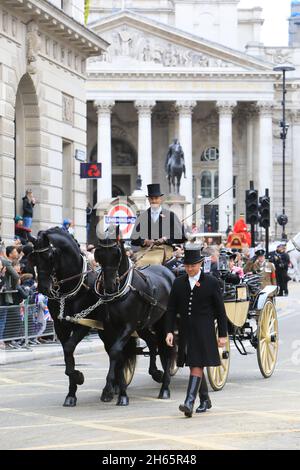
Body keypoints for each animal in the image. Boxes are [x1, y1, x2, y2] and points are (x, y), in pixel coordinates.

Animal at [95, 226, 175, 406]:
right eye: (99, 254)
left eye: (117, 253)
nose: (109, 285)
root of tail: (168, 272)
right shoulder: (109, 328)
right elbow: (117, 354)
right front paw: (118, 389)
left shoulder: (128, 325)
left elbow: (115, 351)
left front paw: (109, 389)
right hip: (145, 324)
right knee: (153, 343)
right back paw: (155, 372)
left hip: (163, 323)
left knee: (167, 349)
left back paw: (165, 388)